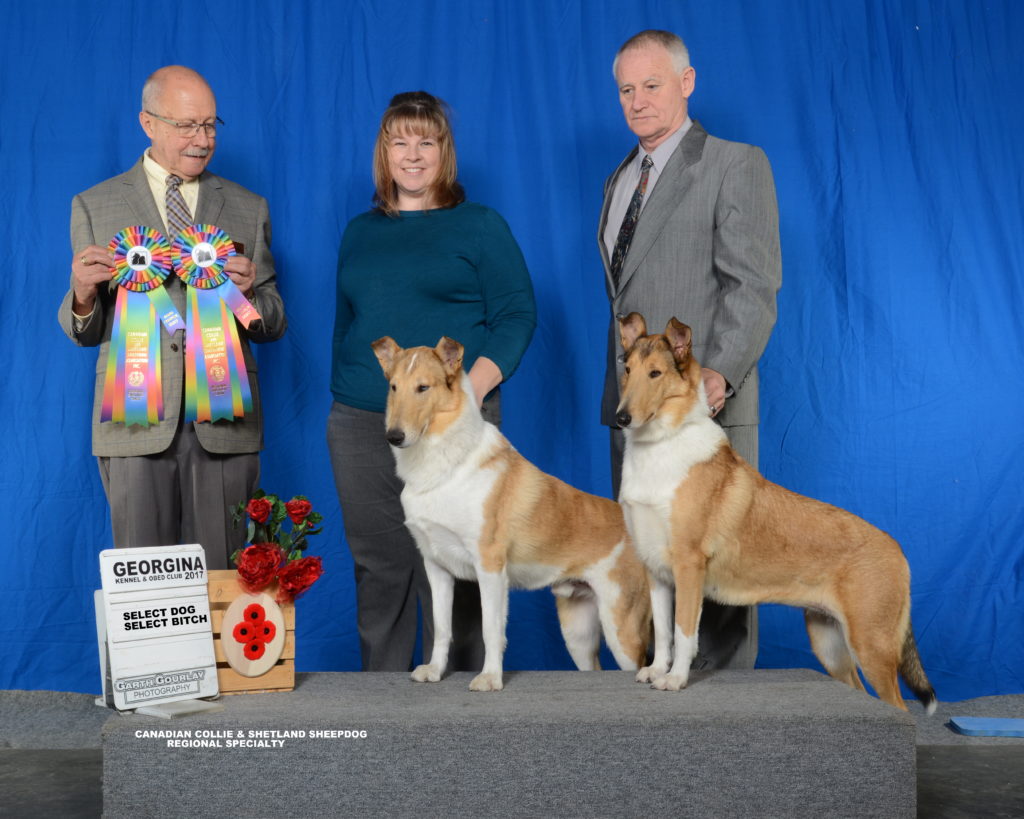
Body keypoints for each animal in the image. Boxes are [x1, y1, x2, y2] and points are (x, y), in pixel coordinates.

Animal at [374, 335, 647, 687]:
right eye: (393, 387)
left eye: (423, 387)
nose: (394, 436)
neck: (444, 465)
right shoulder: (437, 567)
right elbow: (442, 628)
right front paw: (434, 671)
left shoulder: (490, 566)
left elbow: (491, 630)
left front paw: (490, 678)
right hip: (578, 630)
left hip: (621, 625)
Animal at [614, 313, 937, 708]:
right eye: (627, 369)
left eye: (656, 374)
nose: (621, 418)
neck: (660, 445)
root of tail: (897, 549)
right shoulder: (656, 570)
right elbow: (662, 631)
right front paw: (656, 671)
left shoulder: (688, 565)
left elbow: (684, 631)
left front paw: (675, 679)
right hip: (829, 641)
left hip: (872, 644)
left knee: (898, 706)